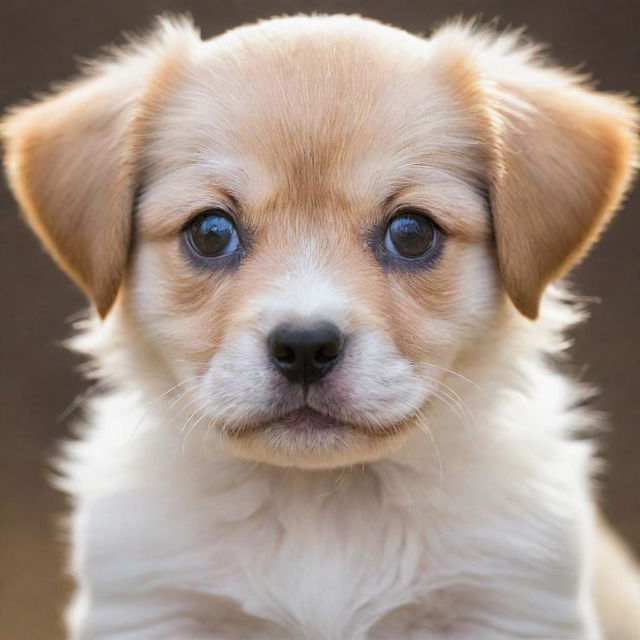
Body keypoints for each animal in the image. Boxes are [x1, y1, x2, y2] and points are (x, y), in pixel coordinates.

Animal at [2, 12, 636, 636]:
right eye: (210, 232)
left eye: (413, 232)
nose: (305, 347)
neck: (323, 503)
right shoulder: (150, 607)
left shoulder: (512, 605)